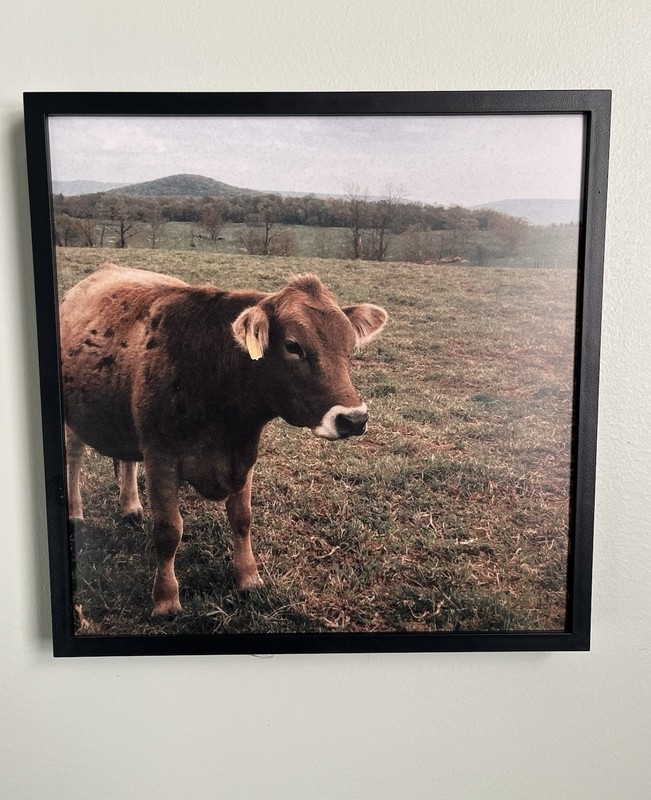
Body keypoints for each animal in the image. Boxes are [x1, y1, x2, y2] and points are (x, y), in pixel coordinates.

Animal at [60, 264, 387, 616]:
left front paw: (248, 577)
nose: (354, 419)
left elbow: (242, 519)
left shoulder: (243, 454)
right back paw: (75, 512)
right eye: (293, 345)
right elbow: (168, 530)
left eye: (349, 346)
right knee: (74, 457)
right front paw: (166, 599)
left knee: (126, 459)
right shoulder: (161, 456)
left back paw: (130, 505)